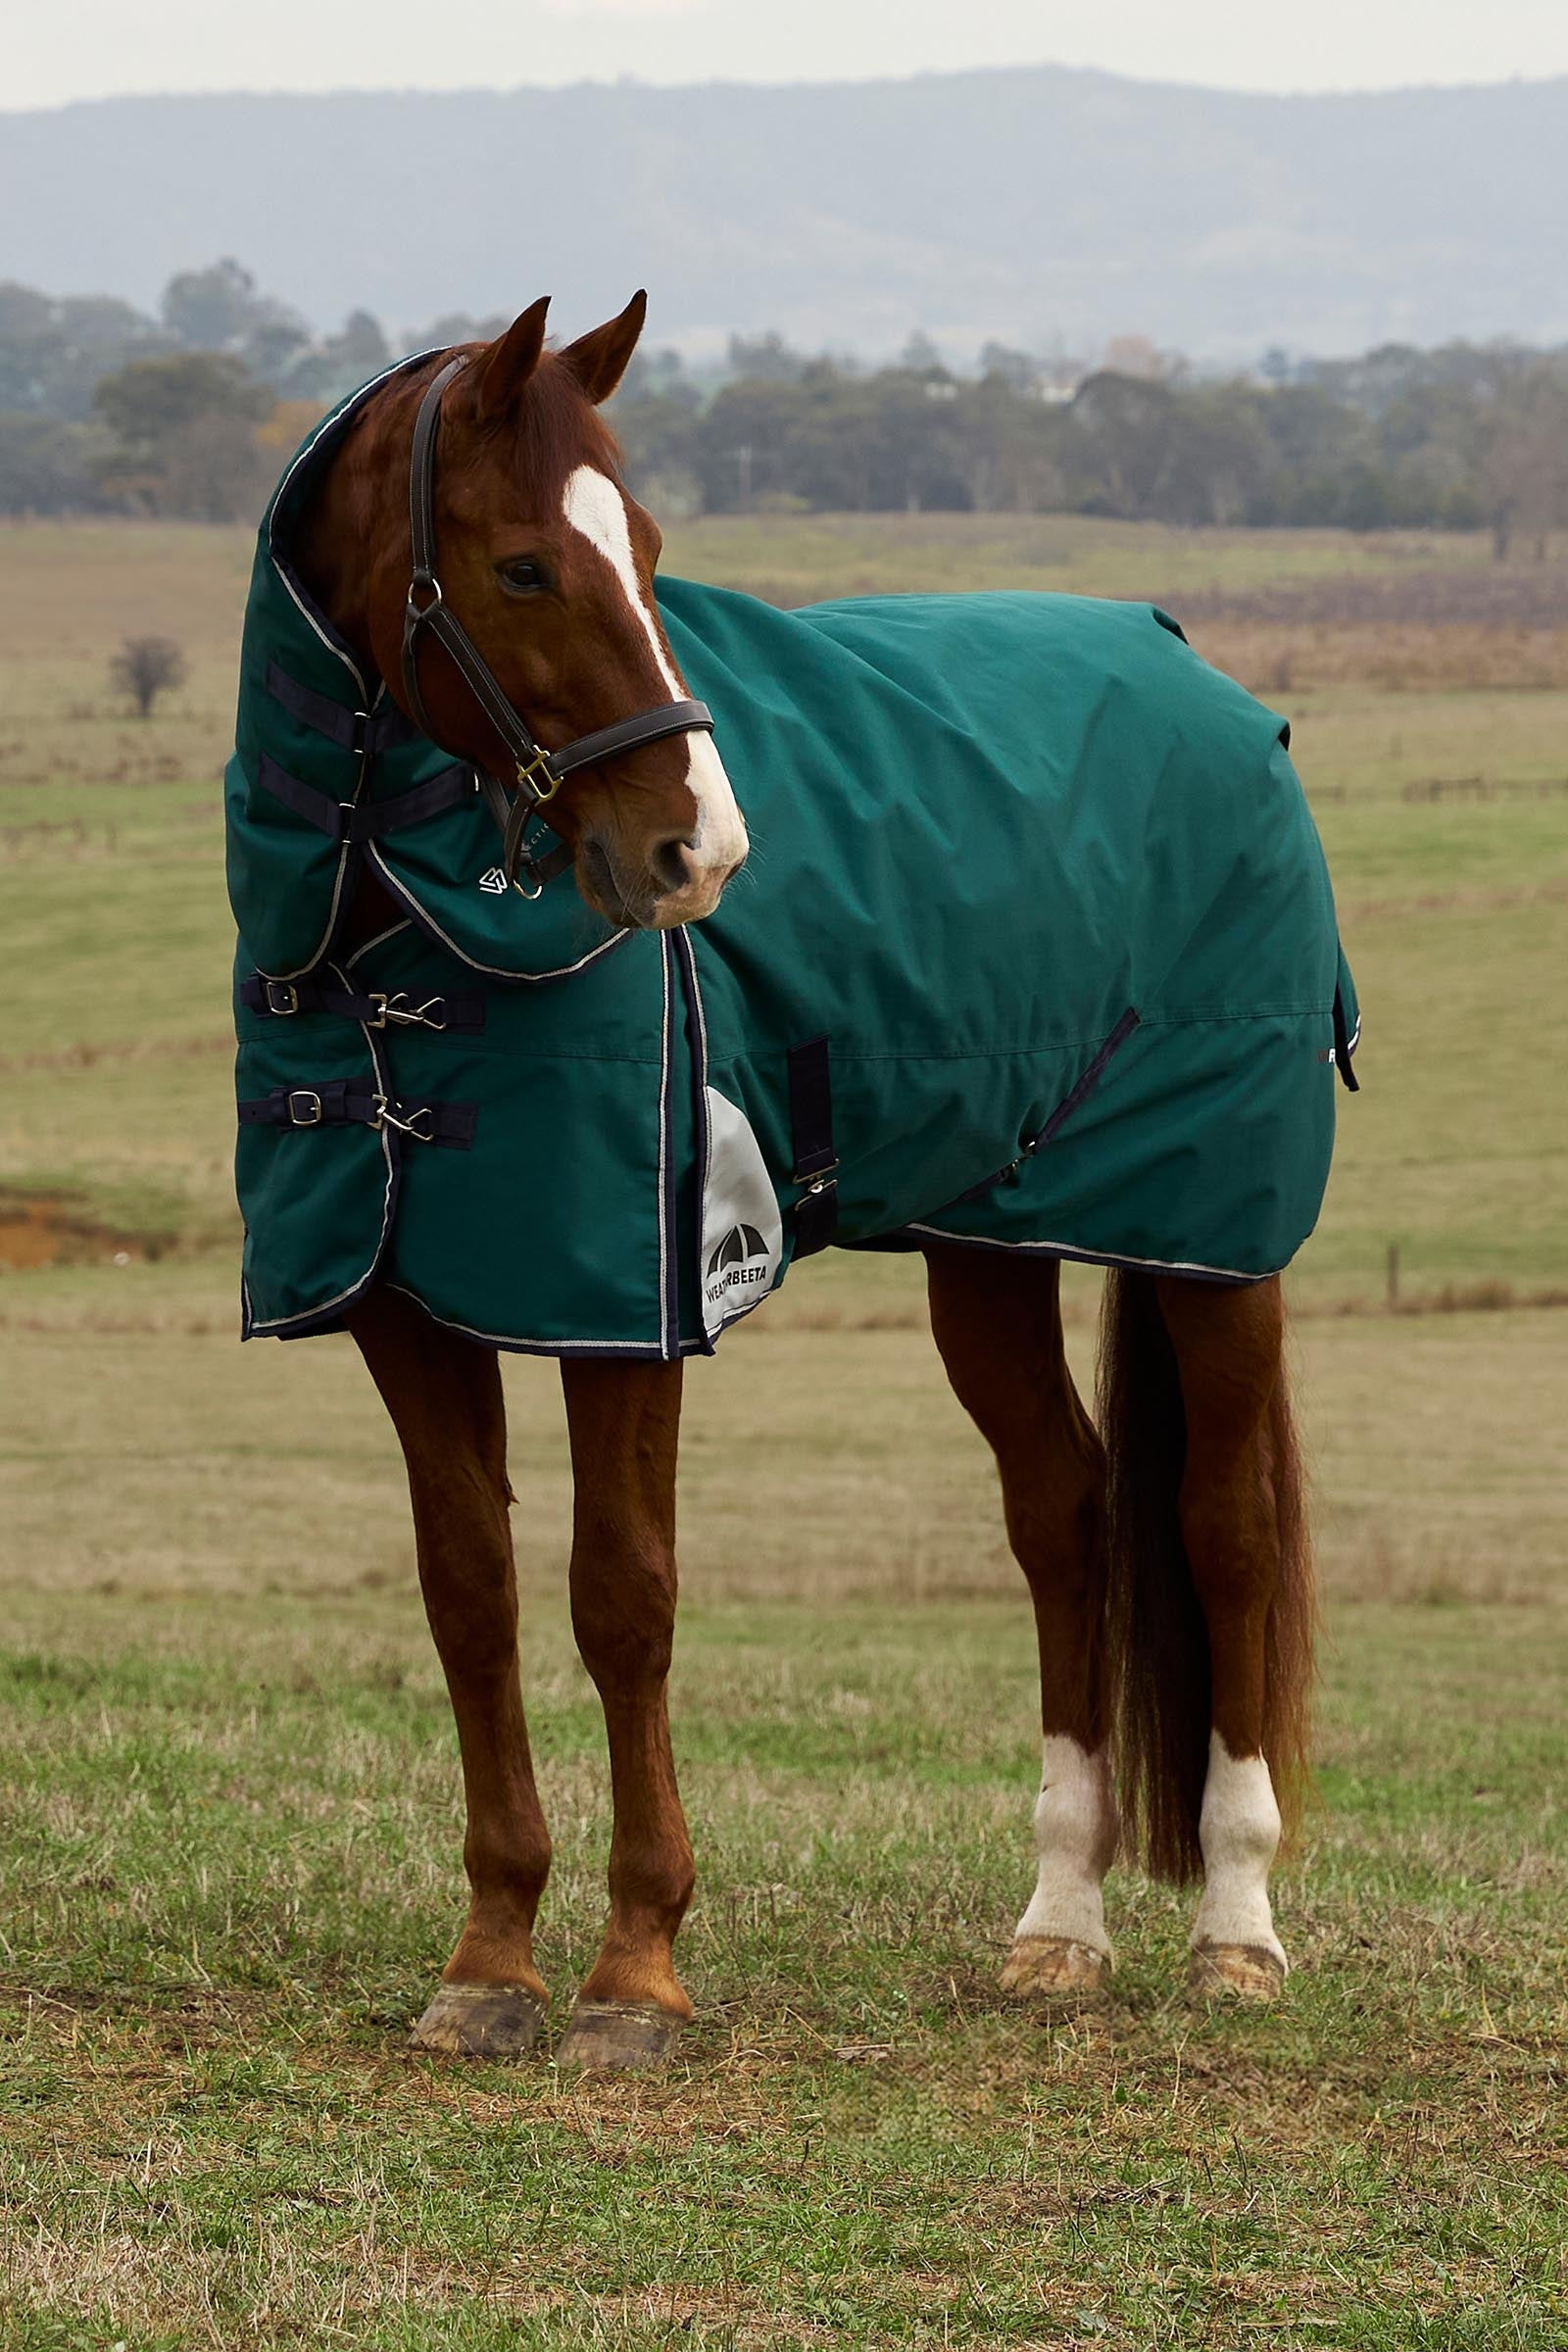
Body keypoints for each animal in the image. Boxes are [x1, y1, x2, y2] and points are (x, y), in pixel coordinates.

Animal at [279, 294, 1317, 2071]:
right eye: (523, 567)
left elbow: (621, 1597)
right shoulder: (411, 1312)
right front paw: (490, 1963)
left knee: (1222, 1525)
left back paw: (1234, 1929)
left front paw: (635, 1973)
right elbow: (471, 1597)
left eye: (648, 549)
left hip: (1211, 1242)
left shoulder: (633, 1304)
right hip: (993, 1243)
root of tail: (1193, 668)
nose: (699, 852)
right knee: (1068, 1515)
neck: (393, 952)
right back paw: (1060, 1922)